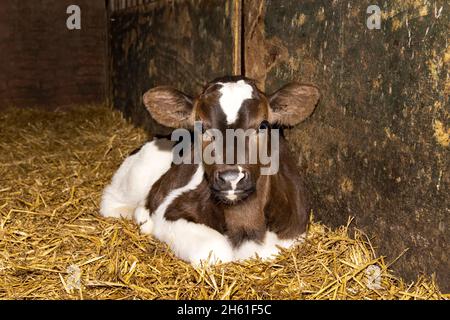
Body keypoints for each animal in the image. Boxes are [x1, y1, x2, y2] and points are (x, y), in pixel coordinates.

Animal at [101, 75, 320, 264]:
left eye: (263, 125)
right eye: (202, 127)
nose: (231, 177)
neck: (246, 228)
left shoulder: (293, 231)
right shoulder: (170, 210)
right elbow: (215, 249)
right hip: (138, 173)